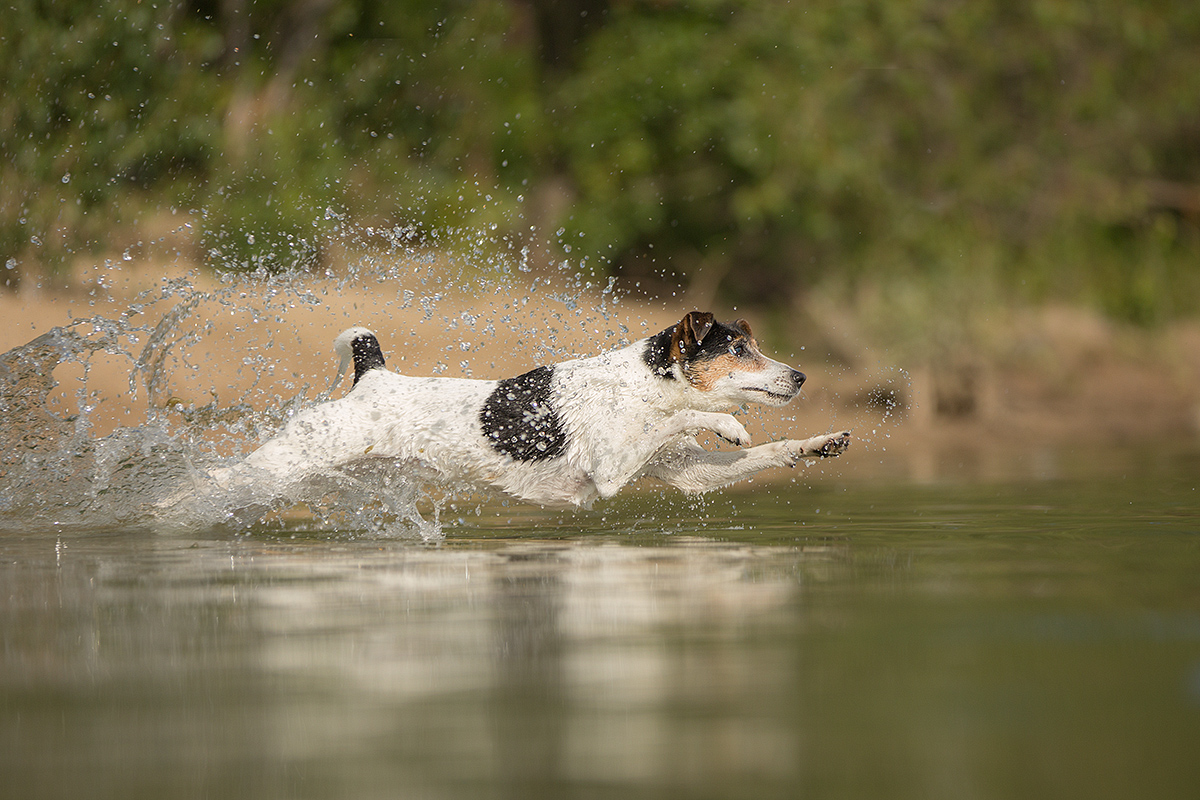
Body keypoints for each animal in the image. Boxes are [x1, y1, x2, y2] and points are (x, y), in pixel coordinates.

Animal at [201, 309, 849, 510]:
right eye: (738, 350)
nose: (800, 376)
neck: (641, 383)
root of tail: (372, 376)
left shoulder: (684, 474)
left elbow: (771, 451)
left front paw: (818, 443)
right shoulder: (612, 469)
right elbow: (686, 415)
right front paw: (728, 422)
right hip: (282, 463)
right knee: (216, 480)